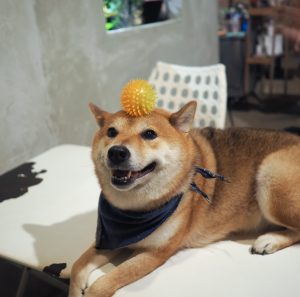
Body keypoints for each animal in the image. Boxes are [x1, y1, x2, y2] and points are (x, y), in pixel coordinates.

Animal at [69, 100, 300, 296]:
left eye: (149, 134)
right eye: (111, 132)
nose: (117, 152)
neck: (136, 211)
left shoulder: (156, 252)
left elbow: (106, 281)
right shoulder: (110, 238)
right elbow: (77, 266)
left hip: (269, 177)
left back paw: (270, 240)